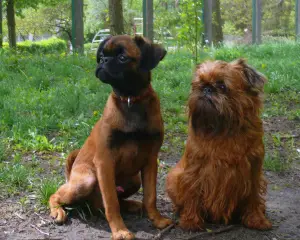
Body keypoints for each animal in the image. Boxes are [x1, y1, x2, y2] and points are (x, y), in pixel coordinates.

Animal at [49, 35, 171, 240]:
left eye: (122, 57)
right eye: (101, 56)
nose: (103, 61)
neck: (130, 100)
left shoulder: (150, 160)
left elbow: (150, 196)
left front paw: (157, 219)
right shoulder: (105, 162)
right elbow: (111, 202)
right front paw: (120, 230)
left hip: (134, 180)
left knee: (114, 201)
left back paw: (133, 205)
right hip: (85, 181)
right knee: (56, 195)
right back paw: (58, 211)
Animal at [166, 58, 272, 231]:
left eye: (222, 86)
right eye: (199, 83)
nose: (206, 88)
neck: (224, 129)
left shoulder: (254, 172)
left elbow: (254, 197)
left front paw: (257, 220)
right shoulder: (194, 171)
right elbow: (193, 192)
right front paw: (191, 221)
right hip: (173, 178)